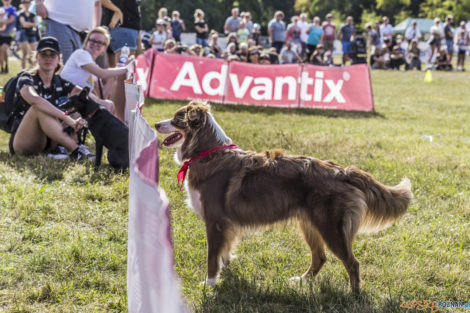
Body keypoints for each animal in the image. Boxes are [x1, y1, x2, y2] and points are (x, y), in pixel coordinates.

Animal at [154, 101, 412, 292]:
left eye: (177, 118)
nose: (156, 123)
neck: (208, 153)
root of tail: (343, 171)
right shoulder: (225, 225)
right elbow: (223, 252)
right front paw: (224, 273)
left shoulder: (215, 221)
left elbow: (211, 256)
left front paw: (209, 284)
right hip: (309, 224)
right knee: (320, 258)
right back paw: (302, 281)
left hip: (331, 227)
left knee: (352, 262)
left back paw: (353, 295)